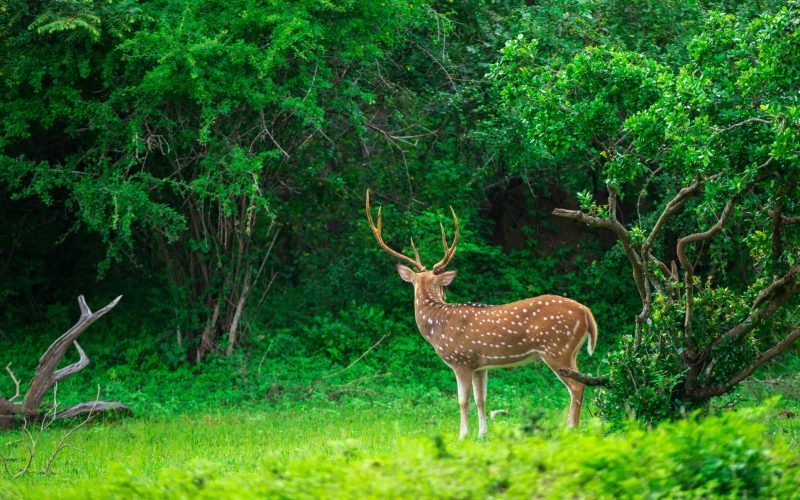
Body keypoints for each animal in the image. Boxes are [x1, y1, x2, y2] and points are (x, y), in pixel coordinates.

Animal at [366, 190, 598, 438]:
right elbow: (481, 399)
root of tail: (586, 312)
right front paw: (482, 434)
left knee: (577, 386)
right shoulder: (480, 365)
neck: (437, 324)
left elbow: (462, 401)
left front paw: (462, 435)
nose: (445, 295)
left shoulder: (461, 359)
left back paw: (571, 429)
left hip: (557, 349)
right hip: (569, 352)